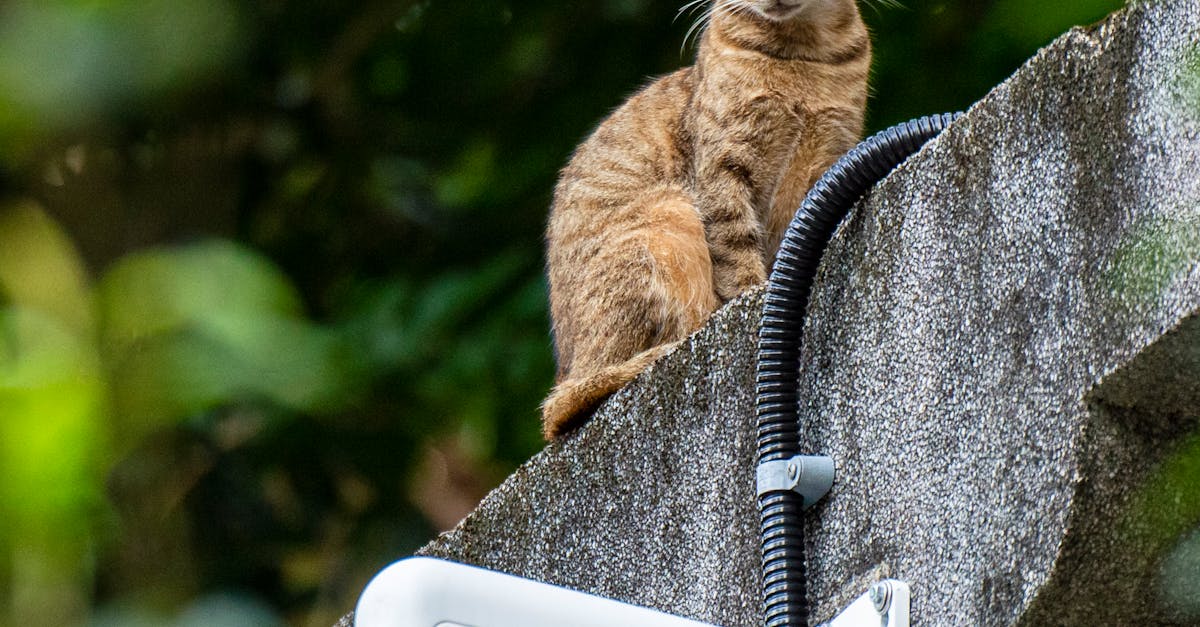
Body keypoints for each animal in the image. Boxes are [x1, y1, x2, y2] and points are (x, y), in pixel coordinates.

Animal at [544, 0, 873, 437]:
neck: (803, 53)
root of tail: (566, 369)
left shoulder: (828, 162)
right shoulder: (722, 168)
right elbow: (736, 251)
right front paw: (751, 293)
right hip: (667, 211)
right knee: (576, 394)